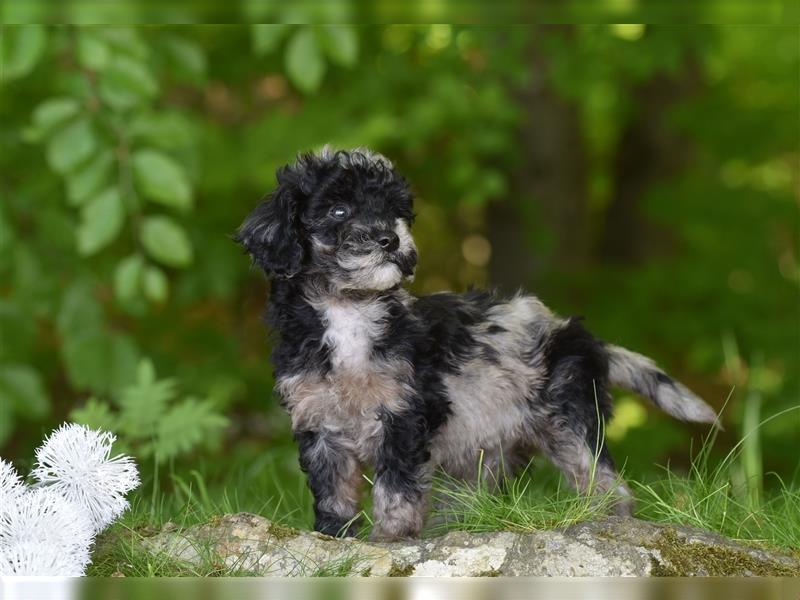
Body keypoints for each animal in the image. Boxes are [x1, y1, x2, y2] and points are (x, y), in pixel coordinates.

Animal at [234, 148, 716, 540]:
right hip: (484, 447)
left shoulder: (405, 412)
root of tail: (581, 335)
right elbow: (333, 489)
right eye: (338, 210)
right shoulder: (320, 424)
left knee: (602, 479)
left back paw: (605, 519)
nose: (391, 239)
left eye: (395, 212)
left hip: (570, 418)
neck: (349, 309)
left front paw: (391, 535)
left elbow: (396, 484)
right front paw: (337, 535)